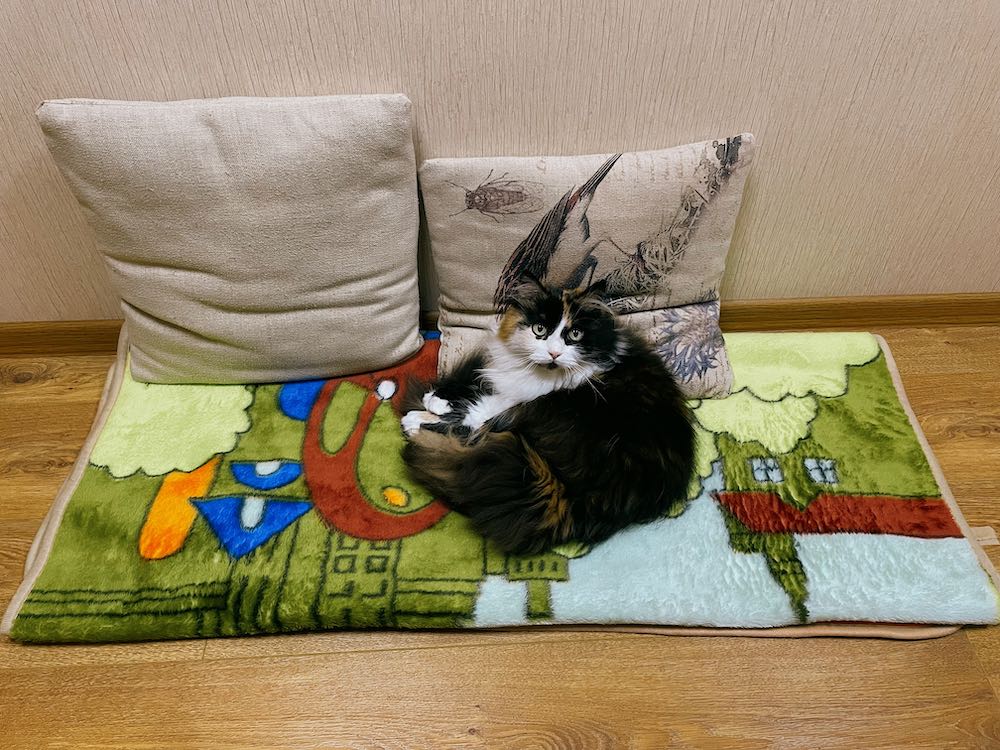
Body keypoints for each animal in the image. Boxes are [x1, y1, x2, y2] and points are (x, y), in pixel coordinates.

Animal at [400, 276, 695, 555]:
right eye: (539, 329)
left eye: (575, 334)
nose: (554, 353)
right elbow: (474, 385)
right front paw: (436, 399)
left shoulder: (516, 400)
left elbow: (474, 413)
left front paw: (424, 414)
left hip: (546, 411)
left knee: (477, 431)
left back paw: (414, 427)